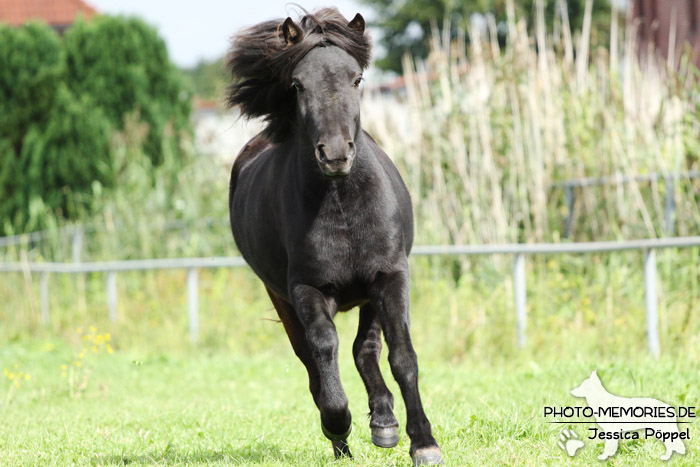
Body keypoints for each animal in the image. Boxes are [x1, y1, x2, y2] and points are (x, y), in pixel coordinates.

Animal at [226, 8, 442, 467]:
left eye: (356, 79)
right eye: (297, 84)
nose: (336, 153)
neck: (343, 206)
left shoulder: (390, 277)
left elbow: (401, 355)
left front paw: (423, 442)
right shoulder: (306, 289)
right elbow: (324, 350)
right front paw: (338, 422)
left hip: (369, 292)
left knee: (365, 349)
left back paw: (384, 423)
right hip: (282, 297)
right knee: (313, 361)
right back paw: (343, 439)